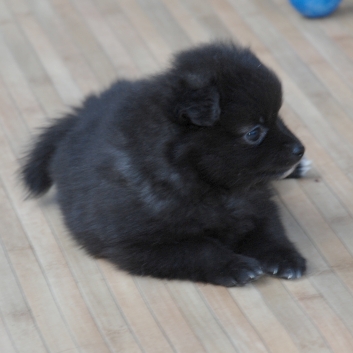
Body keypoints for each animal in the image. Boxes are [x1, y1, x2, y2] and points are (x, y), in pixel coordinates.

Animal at [22, 42, 306, 288]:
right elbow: (200, 248)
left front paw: (285, 257)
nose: (300, 149)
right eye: (254, 132)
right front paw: (235, 266)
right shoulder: (137, 244)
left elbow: (270, 231)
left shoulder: (258, 204)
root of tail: (80, 114)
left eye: (279, 117)